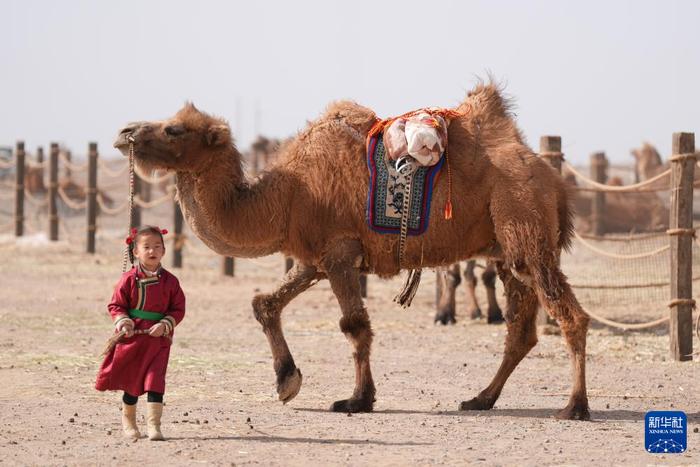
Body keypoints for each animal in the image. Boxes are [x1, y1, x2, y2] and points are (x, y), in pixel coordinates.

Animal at [113, 82, 592, 422]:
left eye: (174, 128)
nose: (124, 132)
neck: (287, 194)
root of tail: (552, 178)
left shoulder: (341, 252)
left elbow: (354, 326)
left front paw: (357, 399)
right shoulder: (314, 258)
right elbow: (264, 303)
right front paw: (287, 382)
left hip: (524, 222)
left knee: (570, 317)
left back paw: (574, 407)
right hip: (504, 247)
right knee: (520, 329)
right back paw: (480, 398)